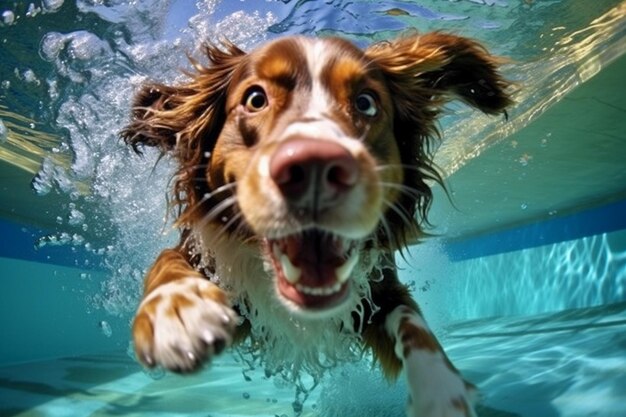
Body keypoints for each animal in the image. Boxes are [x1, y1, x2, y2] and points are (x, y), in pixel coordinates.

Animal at [123, 33, 512, 416]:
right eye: (255, 99)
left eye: (366, 103)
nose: (315, 169)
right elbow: (165, 262)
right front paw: (176, 310)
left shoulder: (375, 294)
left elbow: (413, 323)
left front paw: (441, 390)